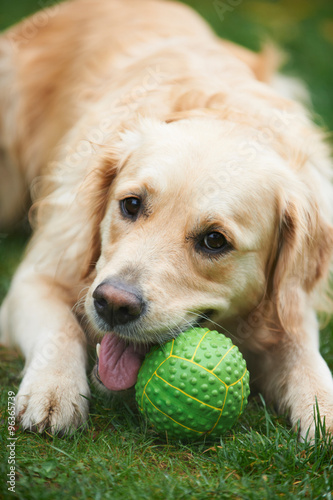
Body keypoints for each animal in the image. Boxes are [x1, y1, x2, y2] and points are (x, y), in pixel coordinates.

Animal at [0, 0, 332, 440]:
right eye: (130, 205)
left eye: (214, 240)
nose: (113, 305)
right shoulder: (37, 275)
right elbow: (61, 327)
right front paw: (53, 388)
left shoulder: (292, 305)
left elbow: (305, 355)